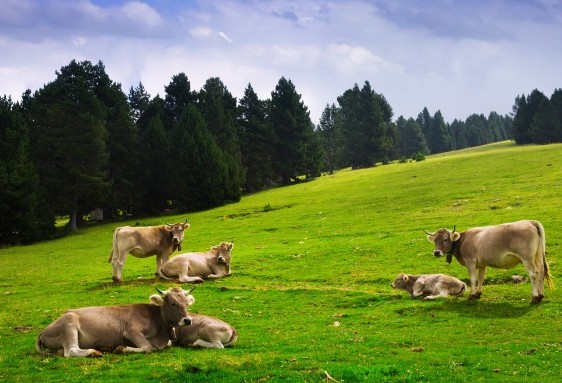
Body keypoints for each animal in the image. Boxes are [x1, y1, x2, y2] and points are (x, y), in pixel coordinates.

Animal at [36, 286, 195, 358]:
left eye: (187, 303)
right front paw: (121, 348)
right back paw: (95, 352)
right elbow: (147, 347)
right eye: (173, 303)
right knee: (71, 351)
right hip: (69, 323)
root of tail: (43, 331)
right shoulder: (130, 332)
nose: (187, 320)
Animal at [424, 220, 552, 304]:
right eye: (435, 240)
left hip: (527, 258)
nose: (436, 252)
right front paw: (478, 294)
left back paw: (535, 297)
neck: (462, 240)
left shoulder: (470, 261)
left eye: (445, 239)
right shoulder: (482, 264)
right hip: (538, 255)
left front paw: (471, 295)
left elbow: (473, 279)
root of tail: (531, 222)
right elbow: (481, 278)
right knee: (541, 272)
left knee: (534, 274)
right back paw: (541, 295)